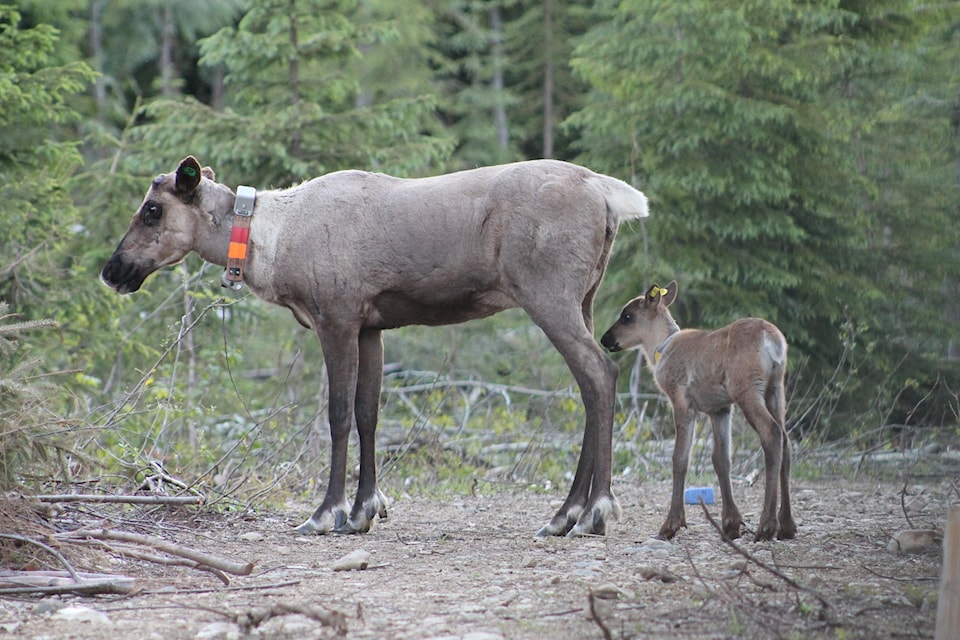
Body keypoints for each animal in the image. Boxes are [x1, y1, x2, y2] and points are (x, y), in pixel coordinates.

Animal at [101, 158, 648, 536]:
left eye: (152, 210)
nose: (112, 270)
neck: (269, 244)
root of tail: (607, 194)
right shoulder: (372, 325)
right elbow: (369, 413)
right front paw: (365, 509)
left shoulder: (337, 317)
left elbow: (339, 414)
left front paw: (326, 513)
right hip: (585, 298)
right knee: (590, 385)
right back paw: (566, 514)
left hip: (548, 294)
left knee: (600, 373)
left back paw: (592, 512)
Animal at [600, 282, 796, 540]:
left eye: (627, 316)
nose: (605, 339)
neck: (659, 350)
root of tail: (773, 341)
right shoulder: (719, 408)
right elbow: (721, 459)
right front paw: (731, 523)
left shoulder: (682, 400)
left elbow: (680, 458)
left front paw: (671, 524)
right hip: (776, 390)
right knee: (786, 440)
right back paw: (787, 525)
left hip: (748, 390)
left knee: (772, 433)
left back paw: (766, 526)